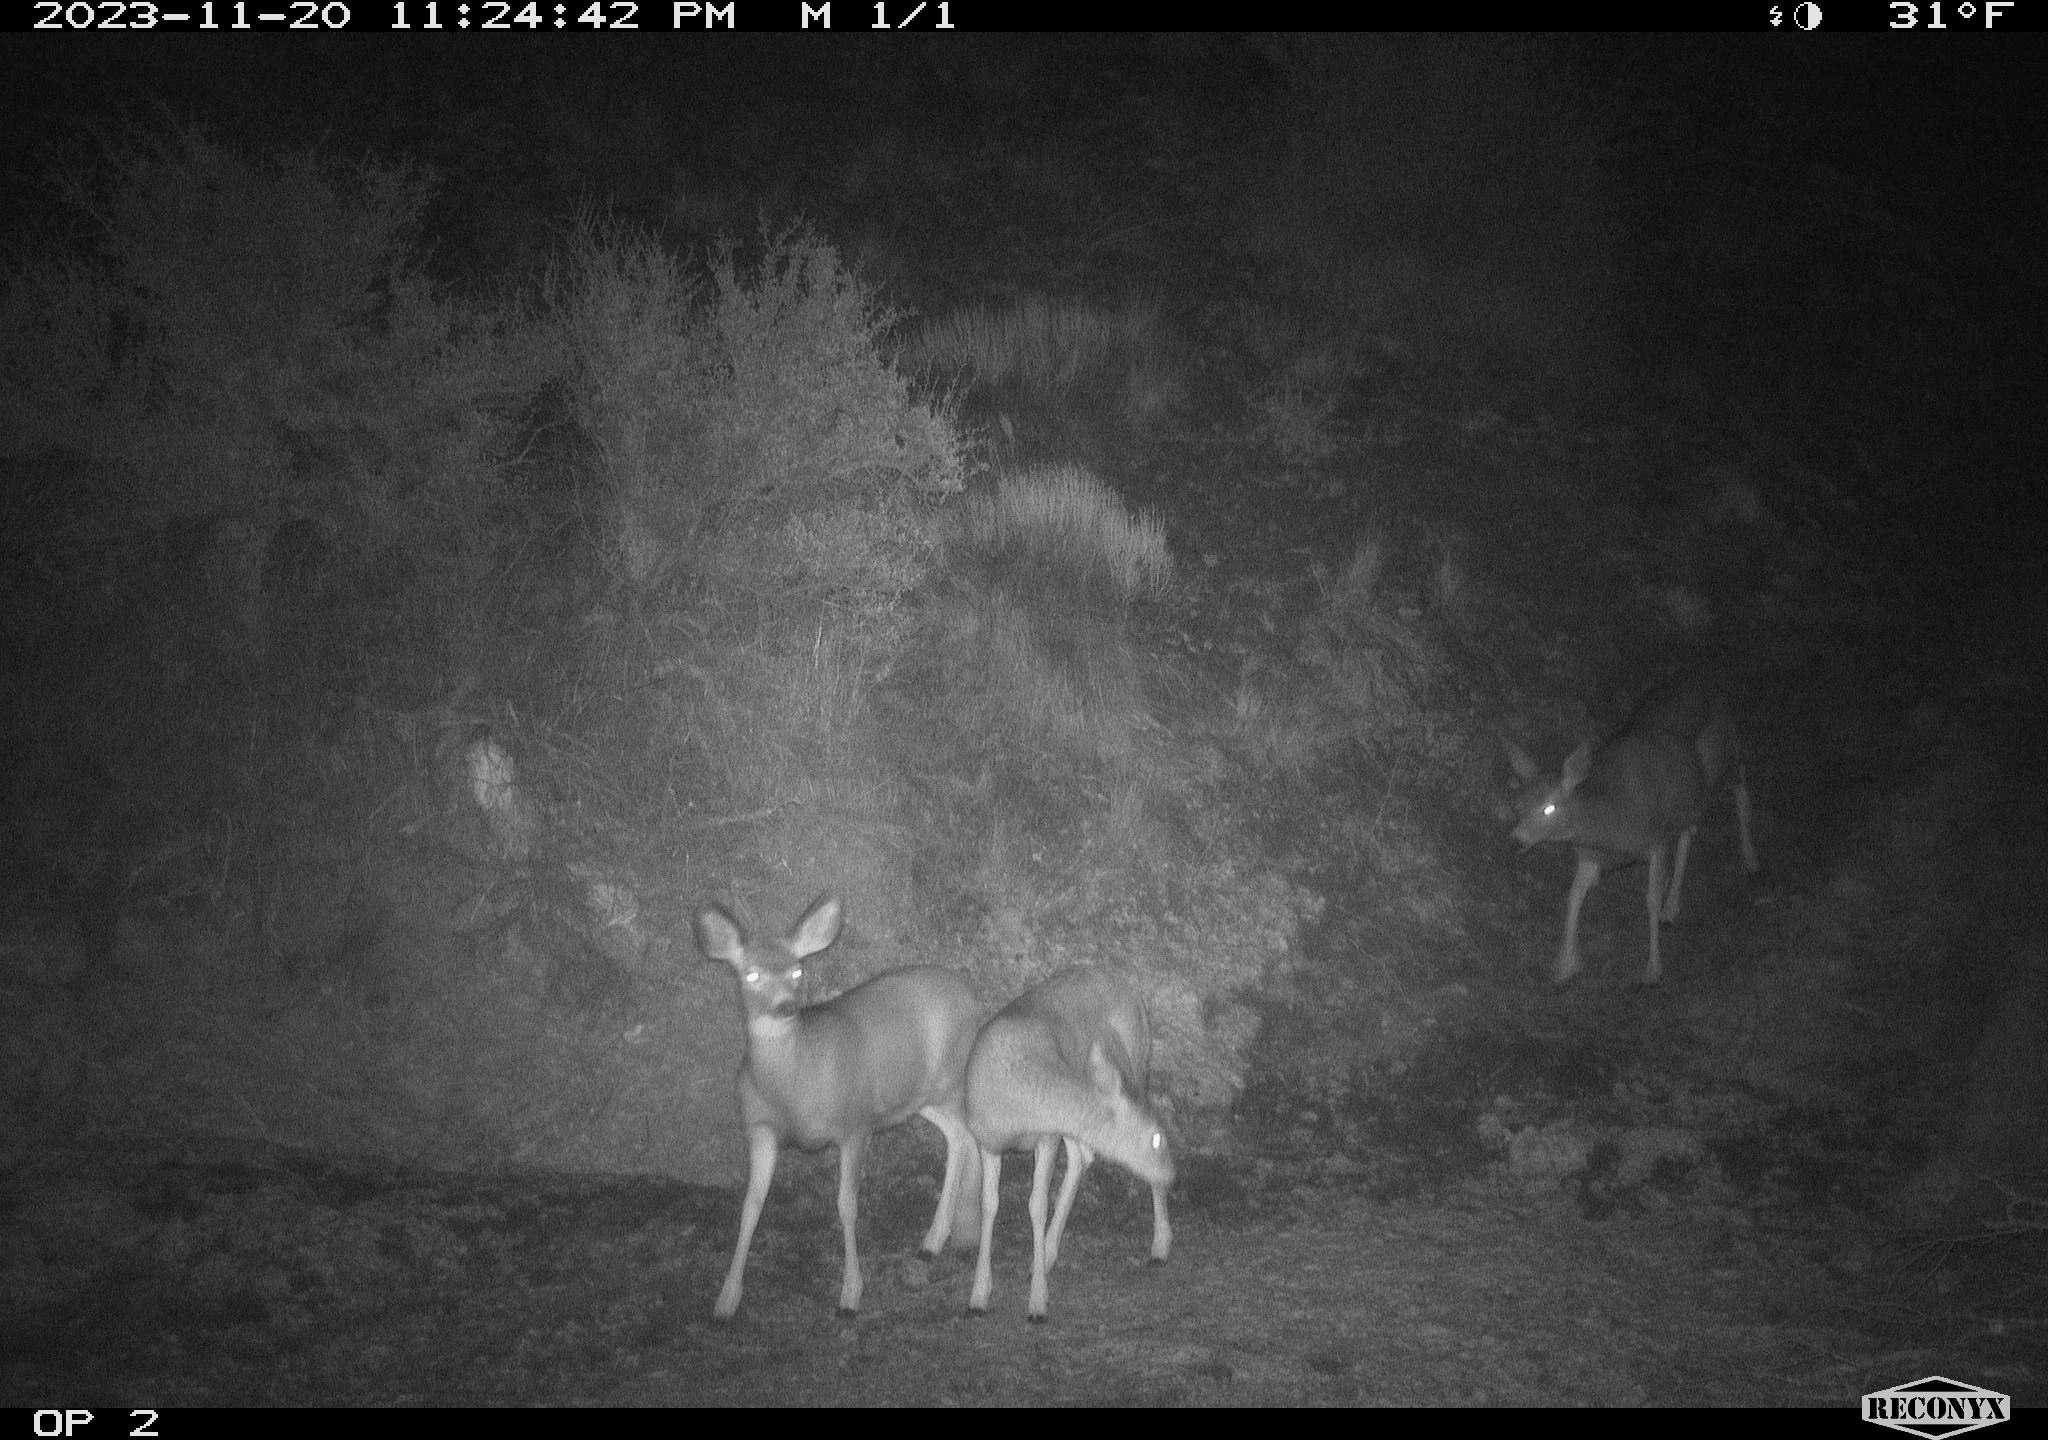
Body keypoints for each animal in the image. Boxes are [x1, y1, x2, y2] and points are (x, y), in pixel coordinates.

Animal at [696, 897, 983, 1327]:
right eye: (752, 974)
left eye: (798, 970)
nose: (787, 1007)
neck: (794, 1086)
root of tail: (975, 997)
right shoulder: (760, 1128)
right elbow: (751, 1205)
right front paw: (725, 1300)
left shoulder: (854, 1121)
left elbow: (847, 1205)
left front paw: (850, 1295)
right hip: (918, 1095)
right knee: (958, 1136)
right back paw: (937, 1239)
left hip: (951, 1076)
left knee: (973, 1135)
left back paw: (948, 1236)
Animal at [962, 962, 1171, 1327]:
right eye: (1156, 1140)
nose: (1173, 1174)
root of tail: (1128, 987)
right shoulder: (987, 1140)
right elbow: (989, 1205)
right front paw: (978, 1295)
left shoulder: (1047, 1136)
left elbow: (1037, 1205)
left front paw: (1037, 1302)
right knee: (1082, 1156)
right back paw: (1046, 1255)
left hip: (1137, 1058)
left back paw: (1160, 1245)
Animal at [1507, 680, 1761, 991]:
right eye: (1517, 806)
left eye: (1549, 808)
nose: (1516, 839)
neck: (1610, 821)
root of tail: (1702, 681)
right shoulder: (1591, 856)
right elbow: (1574, 896)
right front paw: (1566, 965)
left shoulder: (1655, 839)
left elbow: (1650, 899)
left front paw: (1652, 970)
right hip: (1687, 797)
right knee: (1688, 833)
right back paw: (1672, 907)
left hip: (1727, 748)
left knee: (1741, 788)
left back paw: (1750, 861)